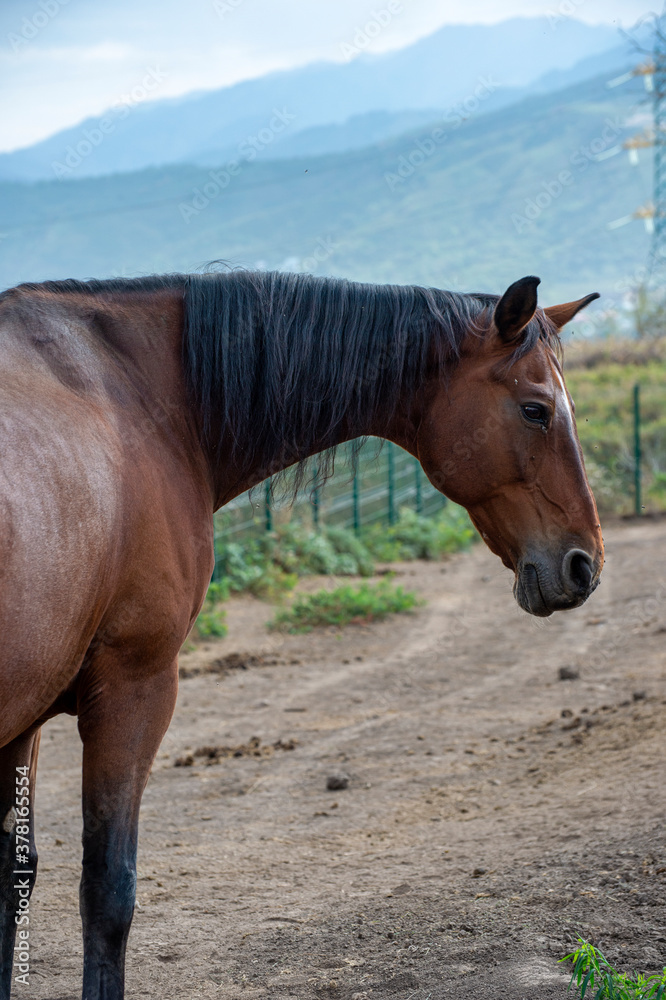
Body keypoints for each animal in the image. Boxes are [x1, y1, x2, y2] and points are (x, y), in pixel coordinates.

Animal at [0, 269, 602, 999]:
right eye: (537, 410)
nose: (584, 563)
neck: (139, 397)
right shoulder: (132, 687)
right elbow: (109, 890)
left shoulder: (24, 723)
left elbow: (14, 877)